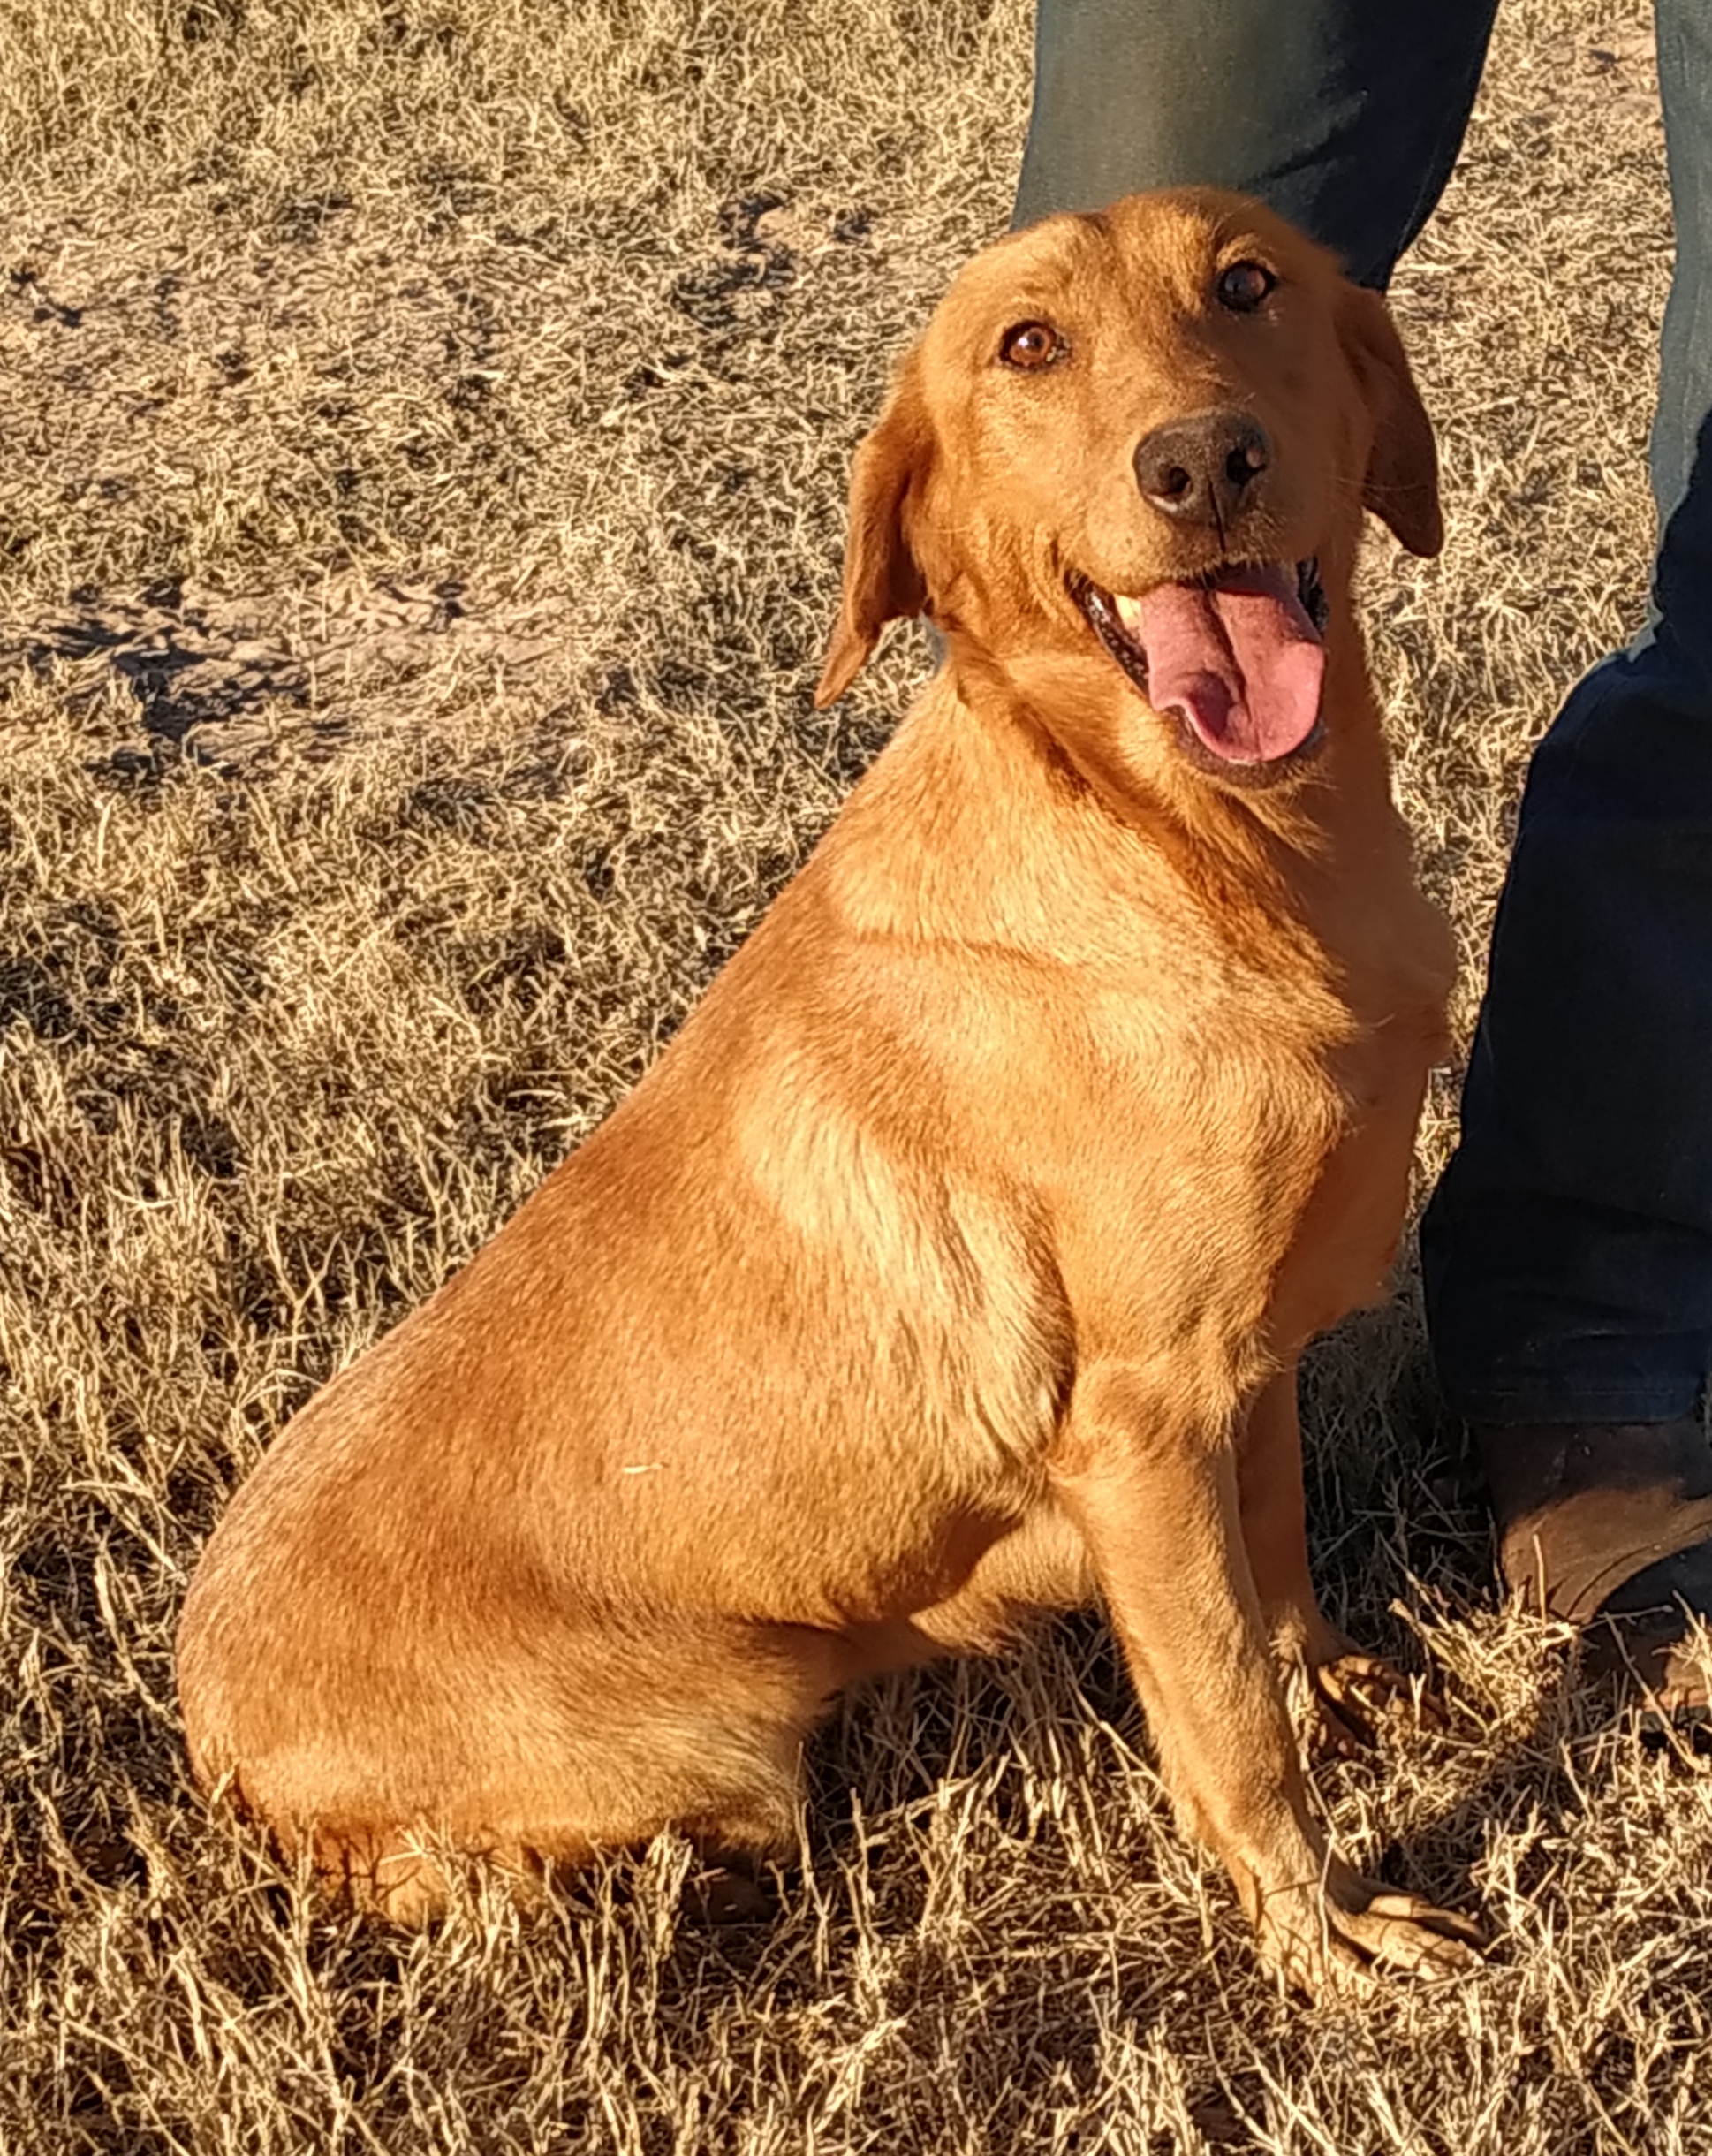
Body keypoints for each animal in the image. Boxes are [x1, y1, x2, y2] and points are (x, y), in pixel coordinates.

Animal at [177, 194, 1483, 1992]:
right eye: (1025, 345)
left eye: (1247, 283)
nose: (1202, 462)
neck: (1217, 852)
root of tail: (203, 1714)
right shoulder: (1139, 1424)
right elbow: (1225, 1717)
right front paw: (1321, 1928)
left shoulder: (1250, 1360)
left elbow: (1277, 1561)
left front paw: (1340, 1683)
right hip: (712, 1735)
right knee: (465, 1878)